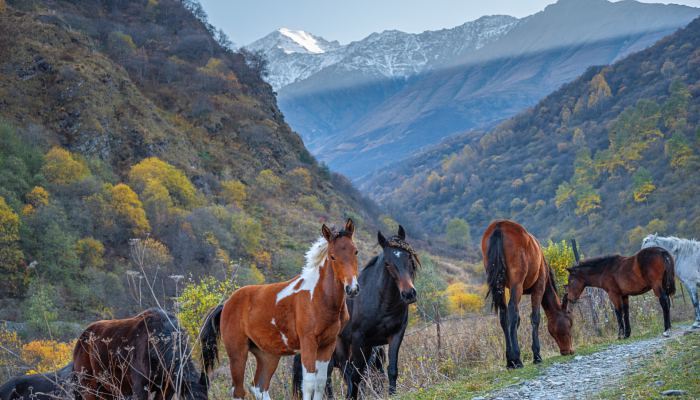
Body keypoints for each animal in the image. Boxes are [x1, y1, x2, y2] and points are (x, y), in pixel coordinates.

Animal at [200, 219, 358, 400]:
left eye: (355, 252)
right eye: (332, 256)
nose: (352, 288)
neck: (319, 298)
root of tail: (226, 304)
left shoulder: (328, 344)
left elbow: (320, 384)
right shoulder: (308, 343)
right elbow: (309, 384)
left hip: (268, 355)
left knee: (259, 387)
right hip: (237, 352)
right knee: (239, 390)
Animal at [292, 227, 418, 398]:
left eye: (409, 258)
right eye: (388, 263)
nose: (409, 293)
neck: (380, 304)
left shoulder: (395, 335)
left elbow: (391, 370)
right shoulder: (358, 340)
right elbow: (356, 377)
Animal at [482, 219, 576, 368]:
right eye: (570, 324)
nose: (569, 350)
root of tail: (499, 226)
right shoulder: (539, 288)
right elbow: (535, 318)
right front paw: (536, 355)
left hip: (499, 285)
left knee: (504, 315)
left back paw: (510, 361)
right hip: (517, 284)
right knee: (512, 312)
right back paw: (517, 358)